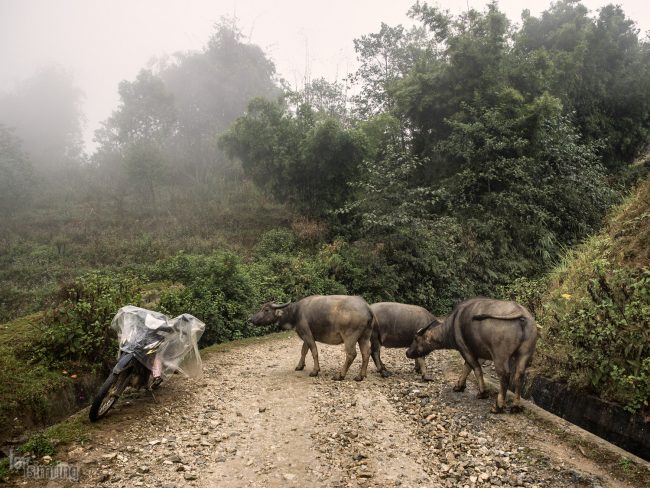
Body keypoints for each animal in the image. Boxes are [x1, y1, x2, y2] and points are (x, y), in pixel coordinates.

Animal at [404, 296, 536, 414]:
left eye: (416, 339)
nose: (407, 352)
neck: (452, 324)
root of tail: (521, 313)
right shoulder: (479, 353)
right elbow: (467, 368)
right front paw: (459, 386)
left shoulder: (464, 348)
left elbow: (476, 368)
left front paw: (482, 393)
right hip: (525, 354)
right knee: (519, 375)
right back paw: (516, 406)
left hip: (500, 356)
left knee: (504, 376)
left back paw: (497, 407)